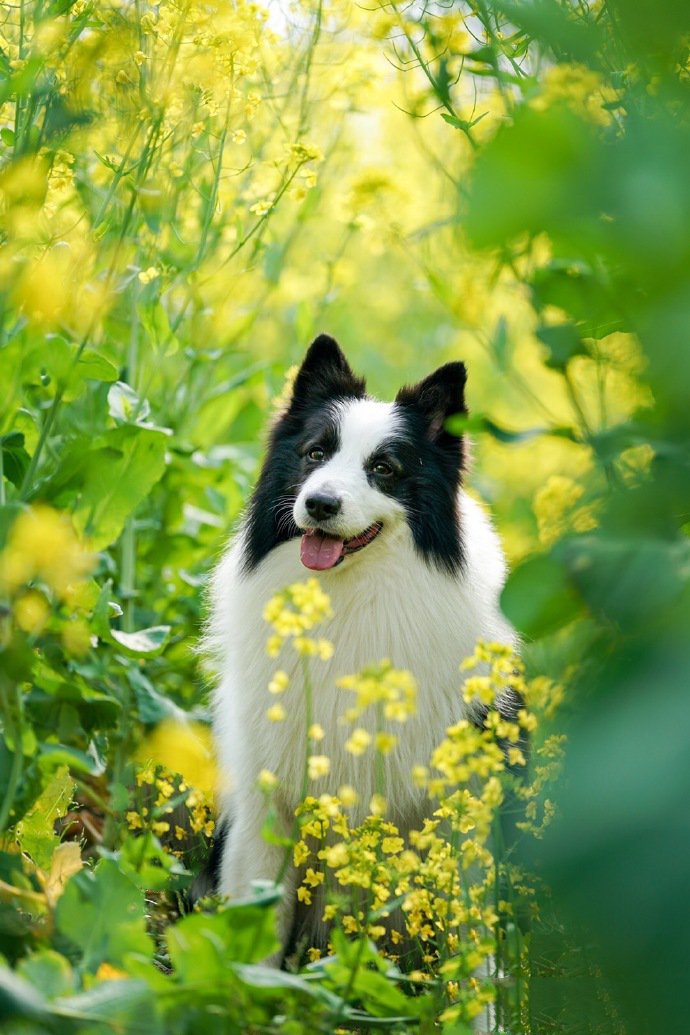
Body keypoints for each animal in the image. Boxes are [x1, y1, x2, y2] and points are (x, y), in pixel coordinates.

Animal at [204, 335, 517, 964]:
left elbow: (470, 931)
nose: (320, 504)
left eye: (384, 469)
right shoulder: (267, 803)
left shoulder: (461, 805)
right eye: (314, 453)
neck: (350, 596)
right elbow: (258, 924)